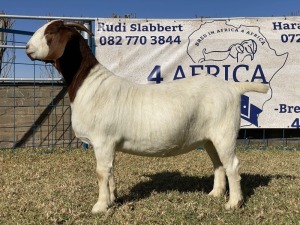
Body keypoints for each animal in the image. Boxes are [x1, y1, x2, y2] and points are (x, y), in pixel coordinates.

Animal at [26, 20, 270, 214]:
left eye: (50, 33)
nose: (27, 48)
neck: (89, 83)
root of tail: (233, 87)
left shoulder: (103, 139)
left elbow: (101, 173)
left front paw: (99, 206)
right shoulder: (108, 144)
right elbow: (110, 171)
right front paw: (113, 199)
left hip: (224, 132)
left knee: (232, 165)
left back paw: (233, 203)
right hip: (209, 137)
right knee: (218, 164)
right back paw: (215, 194)